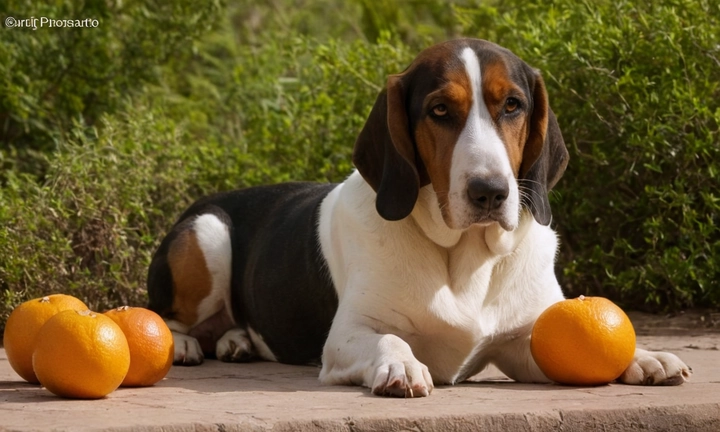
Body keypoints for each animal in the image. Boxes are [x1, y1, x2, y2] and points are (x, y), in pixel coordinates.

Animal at [146, 38, 692, 396]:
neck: (465, 257)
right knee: (170, 316)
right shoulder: (347, 336)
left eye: (513, 105)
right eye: (439, 110)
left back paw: (237, 340)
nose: (490, 192)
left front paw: (644, 357)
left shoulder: (524, 339)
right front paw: (400, 366)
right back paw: (186, 344)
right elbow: (389, 337)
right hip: (207, 233)